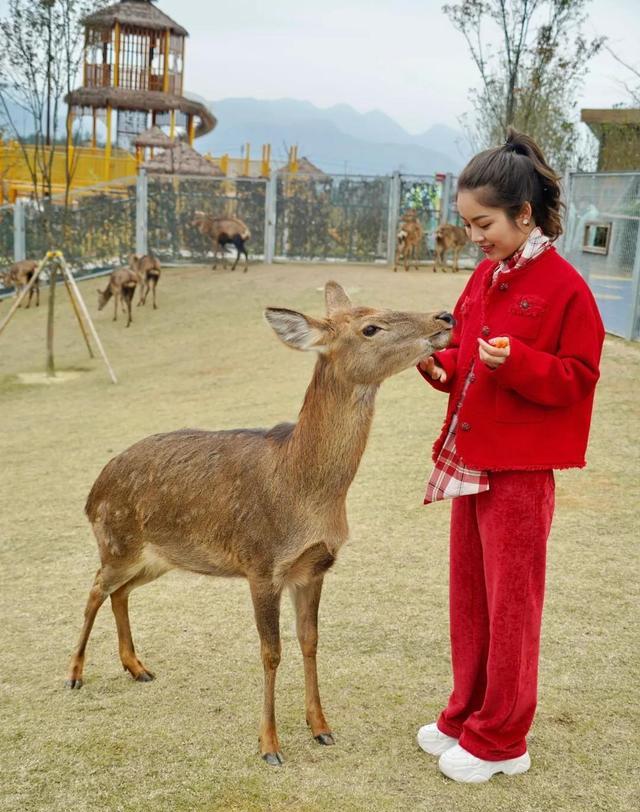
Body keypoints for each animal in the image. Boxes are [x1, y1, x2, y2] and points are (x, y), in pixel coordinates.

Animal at [65, 284, 452, 768]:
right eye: (370, 327)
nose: (445, 316)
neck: (304, 491)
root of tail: (91, 493)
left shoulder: (313, 568)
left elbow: (310, 641)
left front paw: (321, 727)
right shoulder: (261, 564)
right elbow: (271, 652)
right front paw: (270, 745)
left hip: (157, 557)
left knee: (119, 592)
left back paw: (137, 667)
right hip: (117, 541)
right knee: (95, 588)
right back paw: (75, 674)